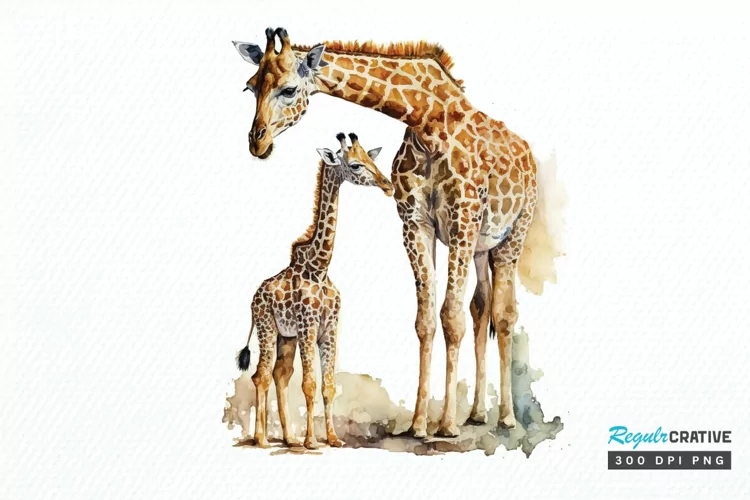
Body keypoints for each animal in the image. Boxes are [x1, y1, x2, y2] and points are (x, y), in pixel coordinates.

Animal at [236, 132, 393, 449]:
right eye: (355, 165)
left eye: (370, 158)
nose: (388, 185)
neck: (319, 267)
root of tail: (254, 298)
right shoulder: (308, 326)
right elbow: (309, 384)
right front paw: (312, 442)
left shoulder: (329, 328)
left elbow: (328, 386)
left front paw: (332, 438)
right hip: (267, 328)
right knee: (261, 375)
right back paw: (262, 439)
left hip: (286, 337)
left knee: (280, 374)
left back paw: (289, 438)